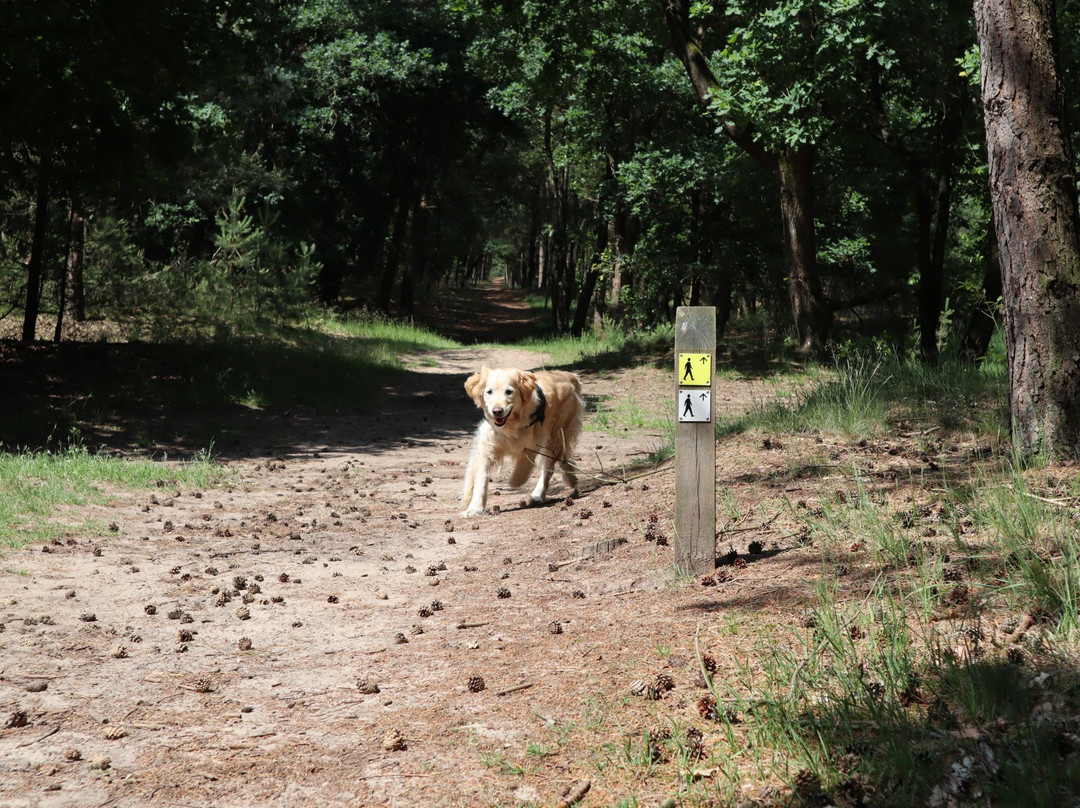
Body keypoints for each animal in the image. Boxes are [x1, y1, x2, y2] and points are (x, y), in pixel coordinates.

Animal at [462, 367, 583, 518]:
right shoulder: (488, 446)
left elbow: (521, 473)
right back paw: (570, 478)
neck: (510, 424)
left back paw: (538, 494)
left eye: (509, 391)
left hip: (555, 434)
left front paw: (513, 482)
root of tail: (568, 376)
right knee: (561, 458)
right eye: (489, 392)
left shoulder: (533, 443)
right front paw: (474, 508)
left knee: (549, 466)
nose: (497, 411)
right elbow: (481, 478)